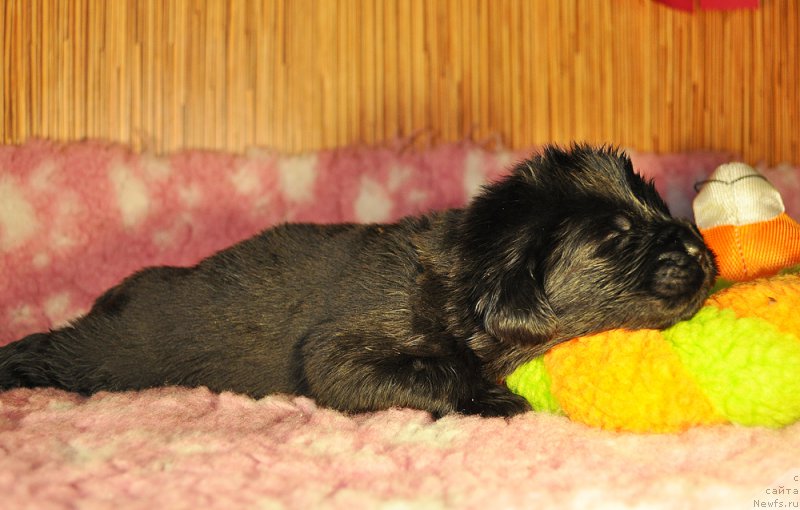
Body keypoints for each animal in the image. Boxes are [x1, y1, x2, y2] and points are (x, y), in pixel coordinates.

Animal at [0, 145, 720, 416]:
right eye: (615, 240)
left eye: (658, 204)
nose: (701, 248)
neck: (460, 266)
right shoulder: (342, 347)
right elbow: (418, 372)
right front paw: (492, 399)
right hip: (108, 351)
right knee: (56, 349)